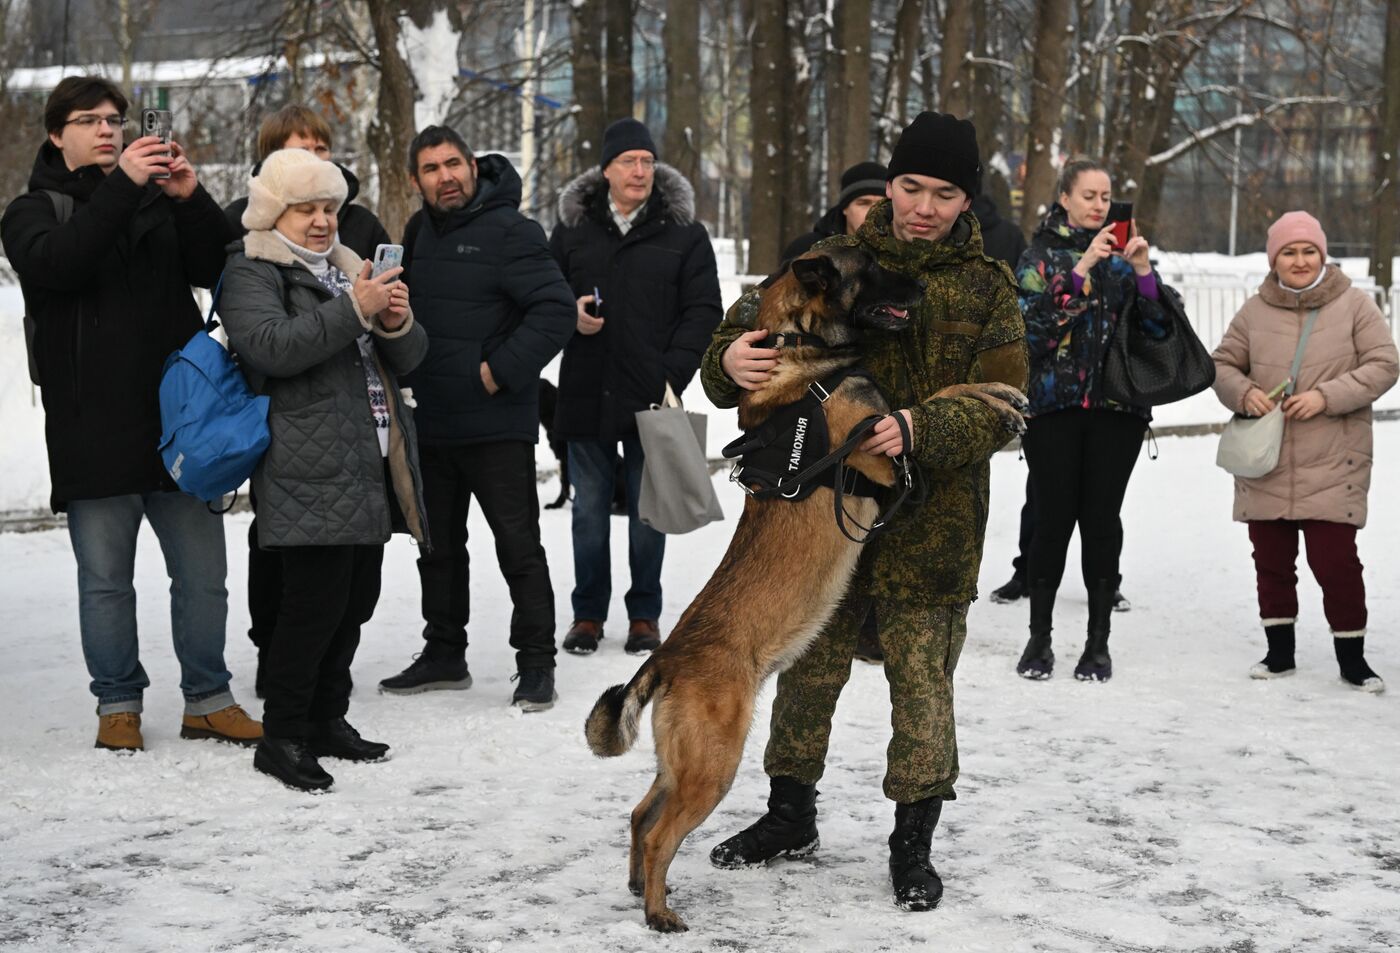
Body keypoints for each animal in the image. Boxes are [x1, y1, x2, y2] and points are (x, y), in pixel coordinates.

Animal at [582, 244, 1030, 929]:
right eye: (872, 268)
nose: (921, 286)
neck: (801, 352)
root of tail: (665, 657)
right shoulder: (878, 452)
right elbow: (927, 402)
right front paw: (997, 397)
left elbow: (939, 397)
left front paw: (999, 392)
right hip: (713, 764)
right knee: (659, 834)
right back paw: (661, 915)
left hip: (683, 764)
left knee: (638, 814)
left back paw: (638, 889)